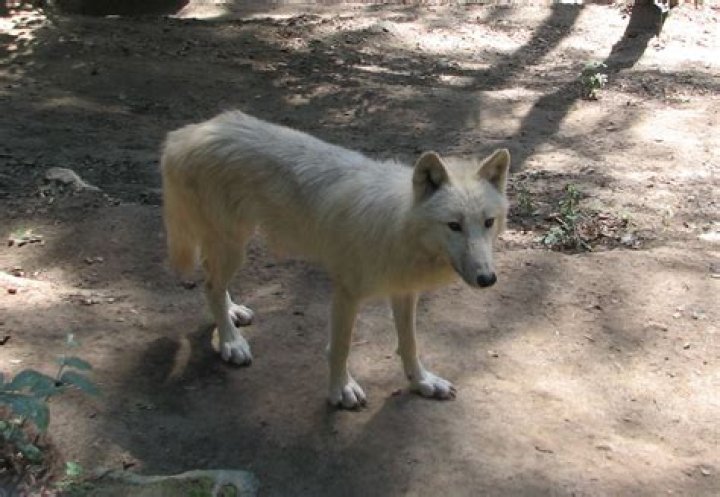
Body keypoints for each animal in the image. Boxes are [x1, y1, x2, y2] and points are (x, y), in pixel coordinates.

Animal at [160, 111, 510, 409]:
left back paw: (232, 313)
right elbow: (340, 348)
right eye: (454, 225)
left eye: (488, 222)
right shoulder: (346, 294)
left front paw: (422, 383)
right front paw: (341, 390)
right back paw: (231, 343)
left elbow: (409, 343)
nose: (487, 279)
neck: (398, 225)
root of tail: (185, 133)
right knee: (210, 286)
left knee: (213, 281)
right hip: (234, 246)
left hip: (231, 246)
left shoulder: (404, 291)